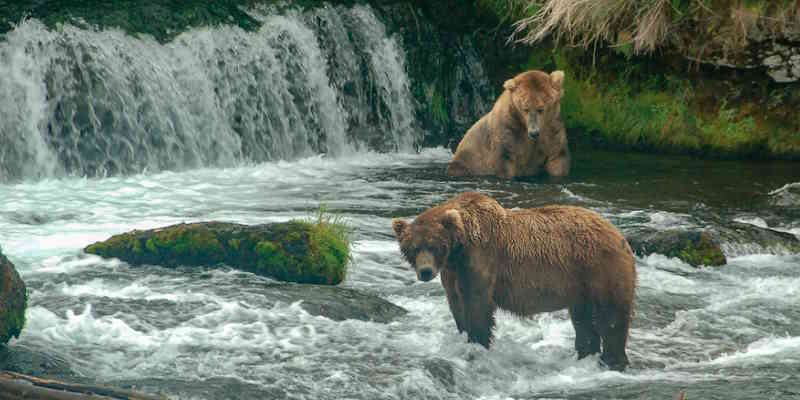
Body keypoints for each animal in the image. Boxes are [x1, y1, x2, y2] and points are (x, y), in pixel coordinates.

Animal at [390, 192, 636, 370]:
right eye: (414, 248)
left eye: (433, 245)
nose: (425, 271)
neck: (458, 250)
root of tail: (619, 234)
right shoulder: (452, 273)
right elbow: (457, 305)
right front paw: (464, 335)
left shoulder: (481, 260)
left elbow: (478, 305)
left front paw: (478, 343)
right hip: (580, 286)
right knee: (583, 321)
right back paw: (585, 355)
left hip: (601, 269)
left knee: (612, 317)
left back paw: (613, 361)